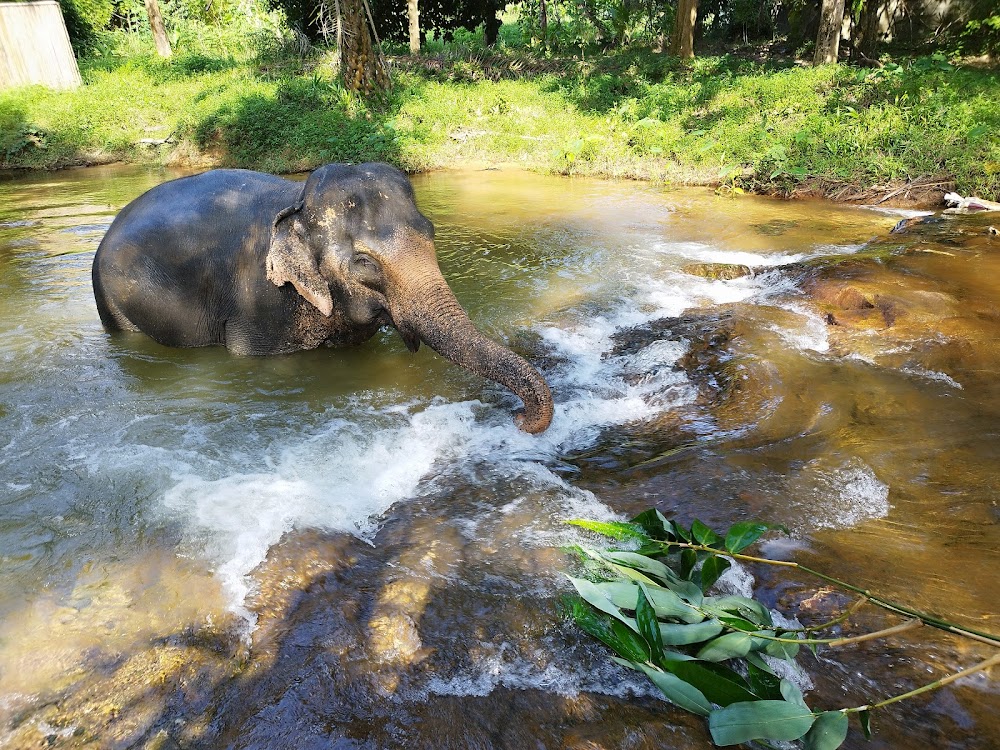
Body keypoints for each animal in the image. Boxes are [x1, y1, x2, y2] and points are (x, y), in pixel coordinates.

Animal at [92, 164, 556, 434]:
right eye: (365, 262)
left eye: (431, 233)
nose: (518, 417)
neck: (296, 202)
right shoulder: (259, 305)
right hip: (113, 303)